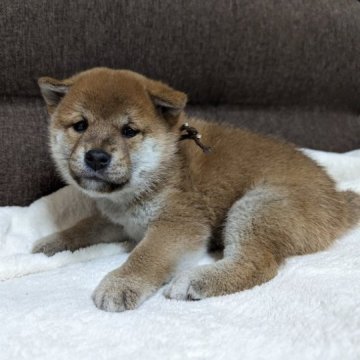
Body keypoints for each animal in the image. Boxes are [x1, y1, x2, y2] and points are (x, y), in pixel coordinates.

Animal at [32, 67, 358, 312]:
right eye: (80, 125)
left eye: (129, 131)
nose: (96, 157)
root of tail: (336, 199)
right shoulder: (118, 222)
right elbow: (83, 228)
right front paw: (51, 243)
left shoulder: (179, 223)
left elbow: (145, 256)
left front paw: (120, 283)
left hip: (257, 205)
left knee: (258, 264)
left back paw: (197, 281)